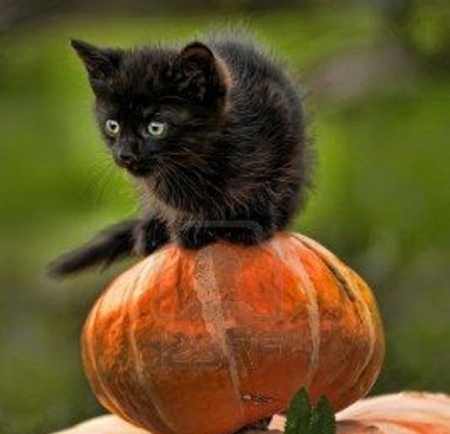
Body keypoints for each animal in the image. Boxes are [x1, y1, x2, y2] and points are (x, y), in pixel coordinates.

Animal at [47, 34, 312, 278]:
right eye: (113, 126)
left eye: (156, 127)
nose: (125, 155)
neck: (195, 164)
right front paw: (190, 226)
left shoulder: (280, 114)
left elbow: (273, 178)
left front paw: (252, 219)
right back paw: (151, 231)